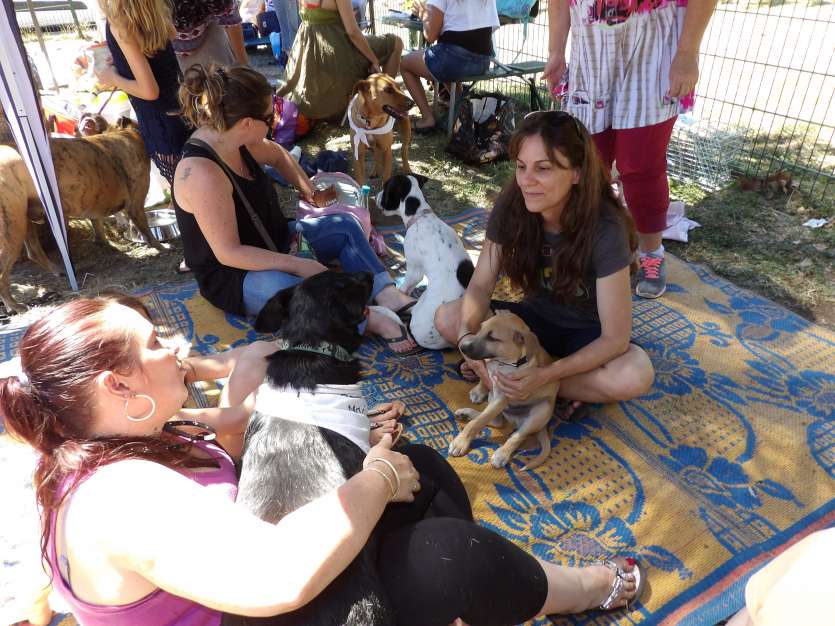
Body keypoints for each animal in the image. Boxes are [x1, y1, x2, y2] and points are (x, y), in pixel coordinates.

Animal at [0, 117, 160, 312]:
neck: (126, 134)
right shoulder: (136, 204)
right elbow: (147, 230)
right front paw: (162, 247)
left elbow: (99, 226)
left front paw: (104, 242)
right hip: (13, 228)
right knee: (2, 274)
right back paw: (14, 305)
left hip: (25, 221)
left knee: (34, 252)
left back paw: (58, 271)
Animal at [448, 308, 560, 468]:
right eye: (481, 327)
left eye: (492, 338)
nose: (462, 347)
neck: (504, 363)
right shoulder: (493, 383)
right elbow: (484, 374)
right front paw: (479, 390)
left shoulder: (502, 397)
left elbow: (477, 423)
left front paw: (460, 443)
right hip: (494, 400)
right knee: (496, 422)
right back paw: (467, 413)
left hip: (541, 410)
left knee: (517, 435)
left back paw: (502, 454)